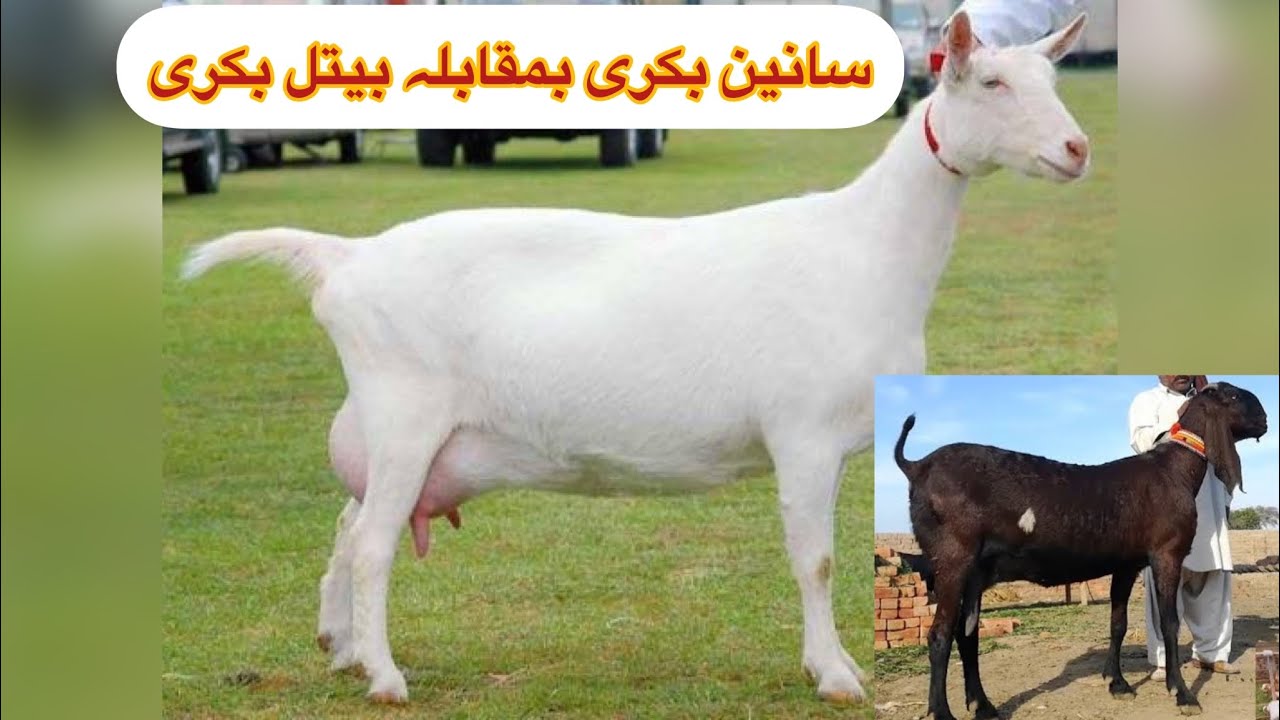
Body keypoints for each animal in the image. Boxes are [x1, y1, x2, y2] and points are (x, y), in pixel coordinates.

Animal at [180, 11, 1091, 705]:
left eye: (1052, 82)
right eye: (992, 84)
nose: (1078, 150)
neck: (868, 247)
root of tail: (347, 259)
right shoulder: (802, 434)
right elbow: (818, 559)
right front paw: (835, 675)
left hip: (386, 427)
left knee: (348, 524)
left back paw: (338, 646)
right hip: (406, 414)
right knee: (371, 542)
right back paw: (385, 677)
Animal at [893, 382, 1268, 719]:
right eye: (1232, 395)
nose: (1265, 419)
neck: (1173, 471)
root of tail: (917, 466)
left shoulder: (1126, 563)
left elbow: (1118, 622)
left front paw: (1118, 684)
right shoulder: (1167, 553)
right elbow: (1170, 622)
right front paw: (1182, 693)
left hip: (976, 571)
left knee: (967, 634)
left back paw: (983, 706)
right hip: (952, 558)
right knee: (940, 635)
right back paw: (943, 712)